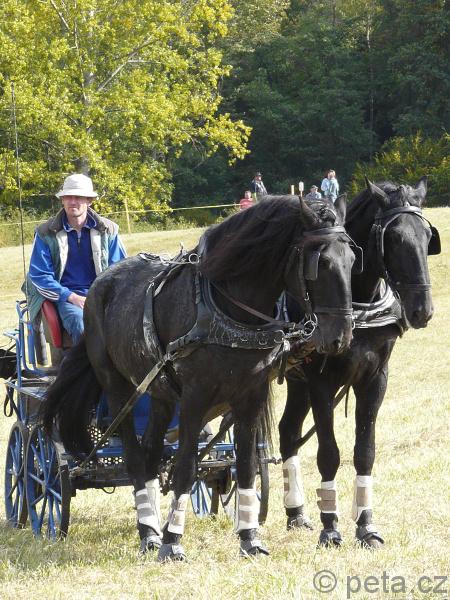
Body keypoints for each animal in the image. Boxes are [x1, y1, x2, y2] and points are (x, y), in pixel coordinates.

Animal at [42, 194, 357, 561]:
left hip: (160, 393)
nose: (340, 337)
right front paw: (172, 542)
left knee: (151, 454)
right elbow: (186, 466)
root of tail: (99, 286)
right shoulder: (195, 398)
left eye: (352, 259)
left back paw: (151, 521)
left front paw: (249, 538)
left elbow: (246, 464)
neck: (227, 309)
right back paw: (149, 534)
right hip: (120, 389)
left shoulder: (249, 396)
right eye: (320, 263)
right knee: (135, 459)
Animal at [278, 177, 440, 548]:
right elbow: (329, 454)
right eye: (394, 239)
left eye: (428, 237)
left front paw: (366, 525)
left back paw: (297, 513)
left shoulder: (375, 378)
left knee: (287, 432)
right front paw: (330, 527)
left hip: (297, 384)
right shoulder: (320, 382)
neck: (357, 303)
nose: (422, 310)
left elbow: (365, 451)